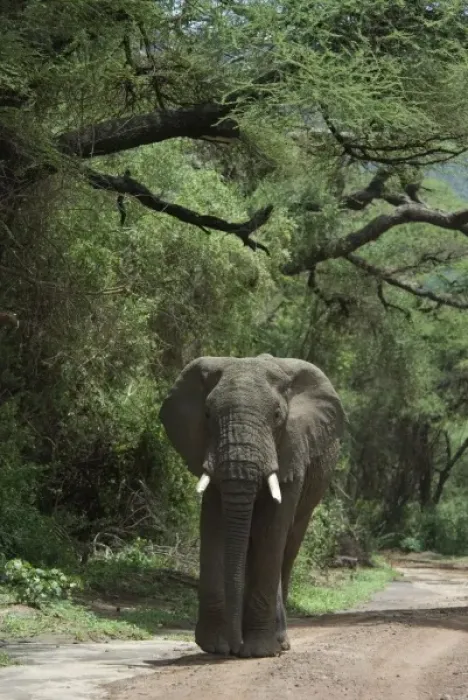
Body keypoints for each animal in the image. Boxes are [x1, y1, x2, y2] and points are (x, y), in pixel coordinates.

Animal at [159, 353, 344, 658]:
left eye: (278, 416)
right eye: (207, 414)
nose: (235, 647)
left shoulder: (293, 449)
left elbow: (271, 530)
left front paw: (257, 651)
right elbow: (216, 526)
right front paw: (215, 646)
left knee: (287, 545)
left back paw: (278, 643)